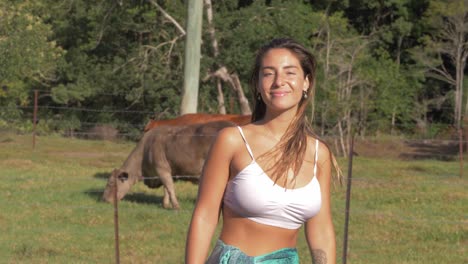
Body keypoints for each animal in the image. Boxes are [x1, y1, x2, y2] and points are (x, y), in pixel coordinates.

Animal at [100, 120, 236, 209]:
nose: (104, 199)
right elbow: (166, 188)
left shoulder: (161, 168)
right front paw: (165, 204)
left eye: (110, 183)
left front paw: (175, 206)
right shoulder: (168, 171)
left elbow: (169, 187)